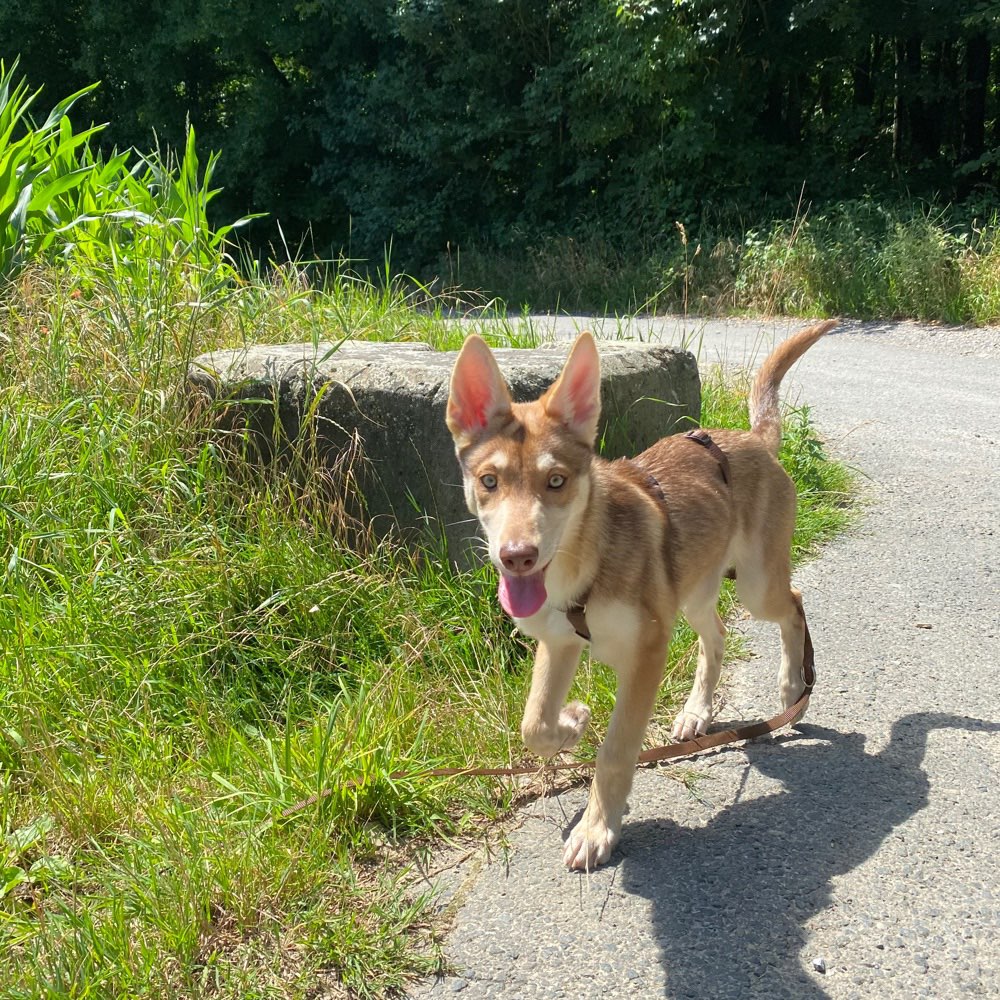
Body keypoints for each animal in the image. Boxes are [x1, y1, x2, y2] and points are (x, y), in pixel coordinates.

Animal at [448, 324, 836, 872]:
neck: (585, 559)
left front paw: (597, 829)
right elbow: (533, 723)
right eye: (489, 481)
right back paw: (697, 711)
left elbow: (615, 751)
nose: (517, 557)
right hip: (693, 590)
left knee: (795, 602)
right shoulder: (559, 642)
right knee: (716, 636)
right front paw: (572, 723)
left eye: (556, 481)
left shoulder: (647, 653)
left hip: (757, 585)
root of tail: (752, 439)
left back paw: (791, 685)